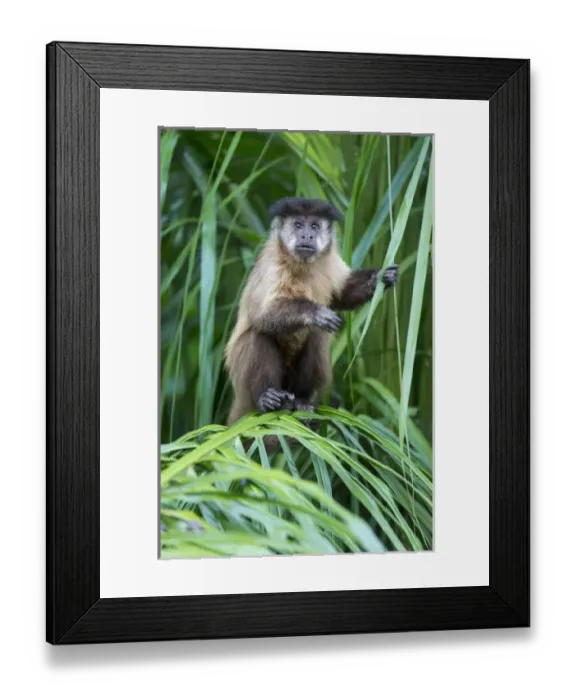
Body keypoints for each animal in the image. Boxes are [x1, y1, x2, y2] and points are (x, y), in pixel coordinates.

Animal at [224, 196, 399, 427]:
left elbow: (343, 293)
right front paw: (315, 312)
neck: (301, 265)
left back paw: (302, 400)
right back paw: (267, 398)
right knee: (259, 334)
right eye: (298, 225)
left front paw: (380, 276)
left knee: (316, 335)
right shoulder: (272, 266)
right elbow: (263, 314)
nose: (307, 235)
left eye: (314, 226)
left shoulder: (329, 260)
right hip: (242, 382)